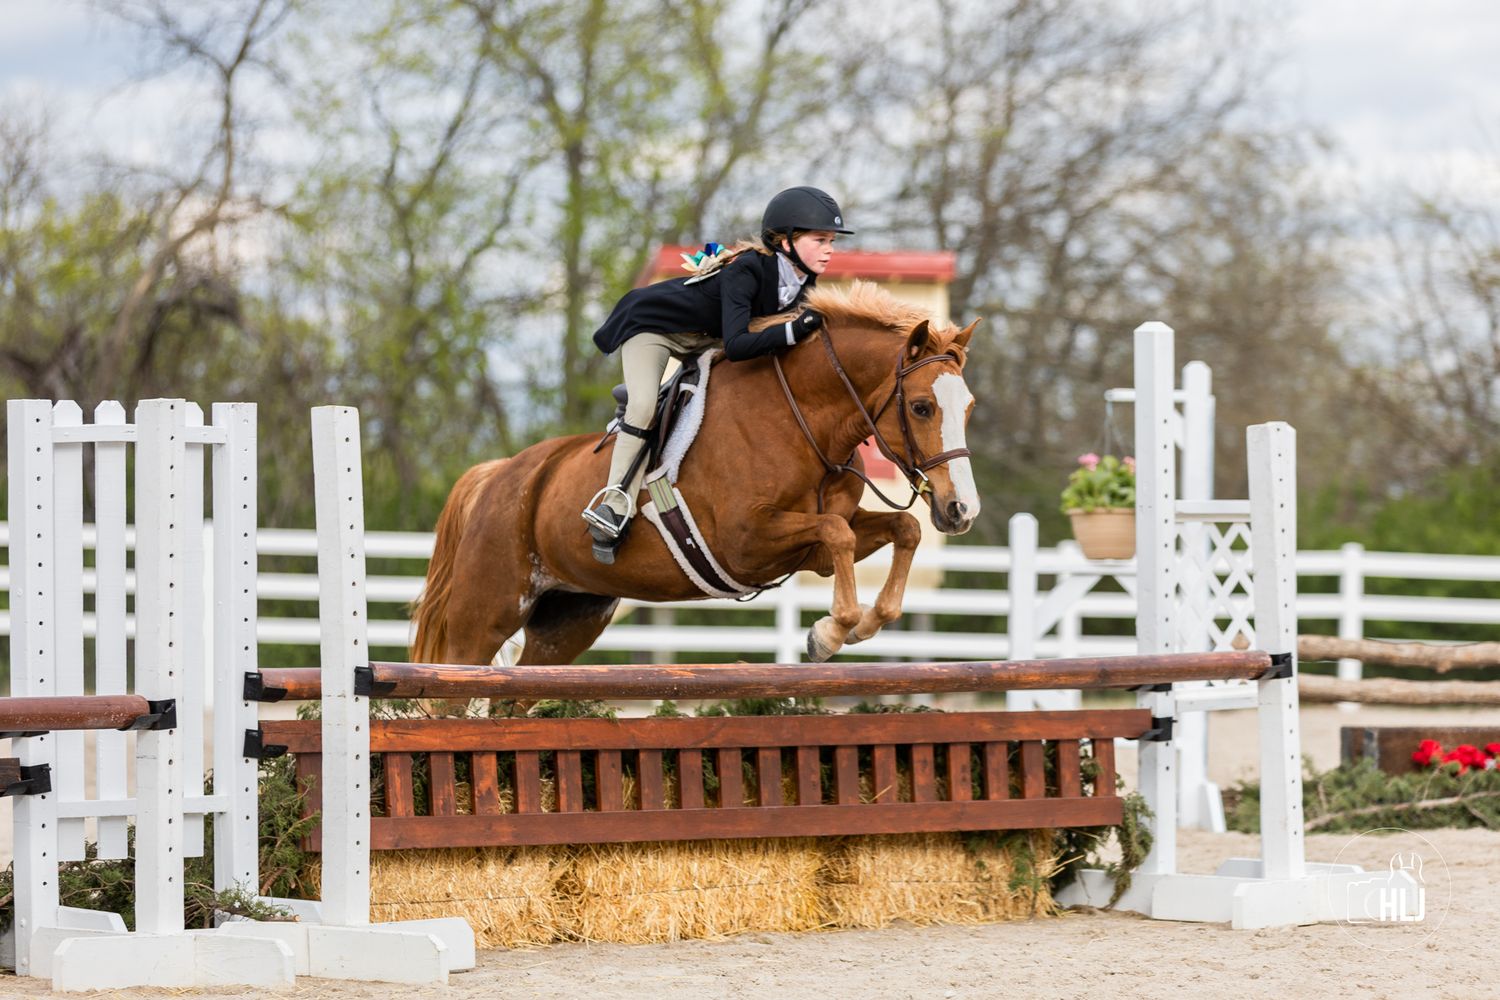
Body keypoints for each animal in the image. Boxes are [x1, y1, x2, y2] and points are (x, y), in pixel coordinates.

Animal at [410, 281, 981, 667]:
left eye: (969, 406)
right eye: (923, 407)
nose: (961, 511)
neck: (801, 416)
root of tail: (496, 475)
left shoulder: (809, 548)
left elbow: (899, 528)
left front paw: (859, 625)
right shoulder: (744, 542)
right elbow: (836, 531)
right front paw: (829, 632)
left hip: (568, 621)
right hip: (483, 618)